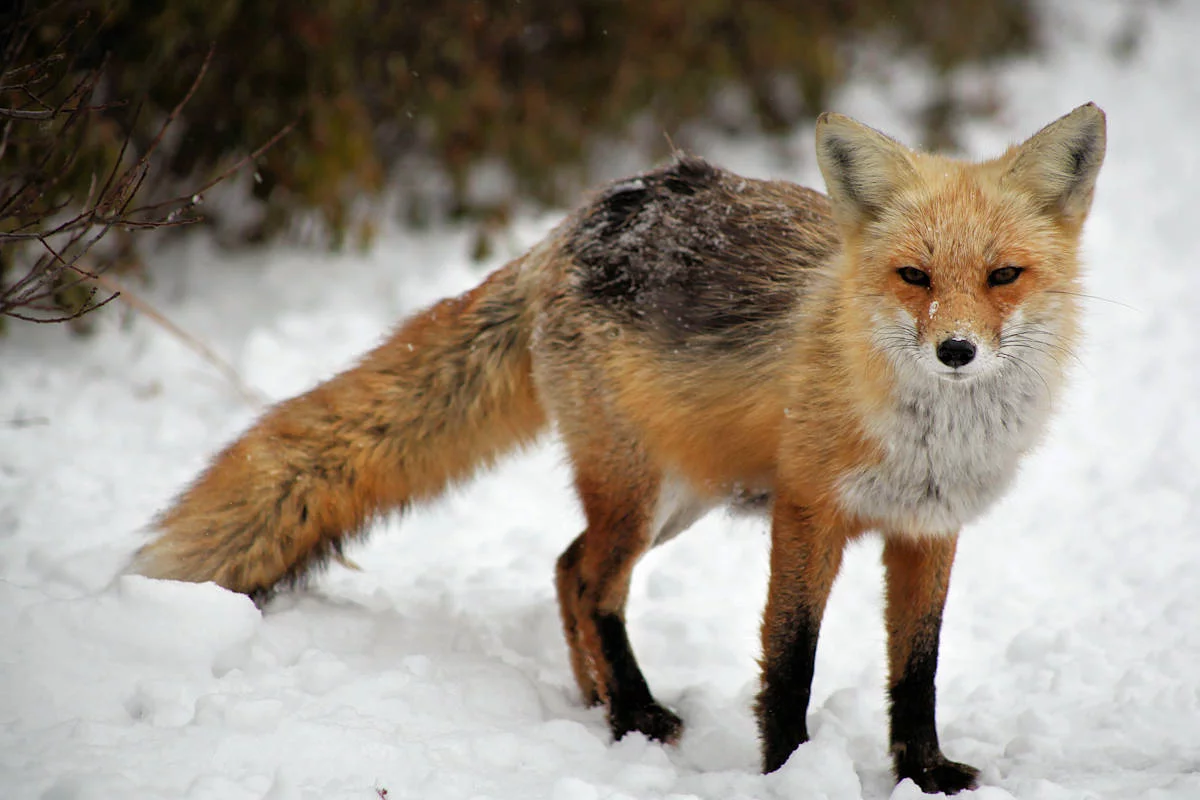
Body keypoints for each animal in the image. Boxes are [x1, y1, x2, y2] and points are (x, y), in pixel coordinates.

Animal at [131, 104, 1104, 796]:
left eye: (1003, 276)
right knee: (595, 582)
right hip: (643, 491)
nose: (956, 352)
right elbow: (790, 660)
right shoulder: (806, 511)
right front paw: (789, 772)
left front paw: (922, 773)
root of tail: (577, 222)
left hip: (680, 497)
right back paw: (632, 712)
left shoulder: (929, 527)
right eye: (913, 277)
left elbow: (918, 669)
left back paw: (597, 700)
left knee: (567, 567)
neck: (930, 436)